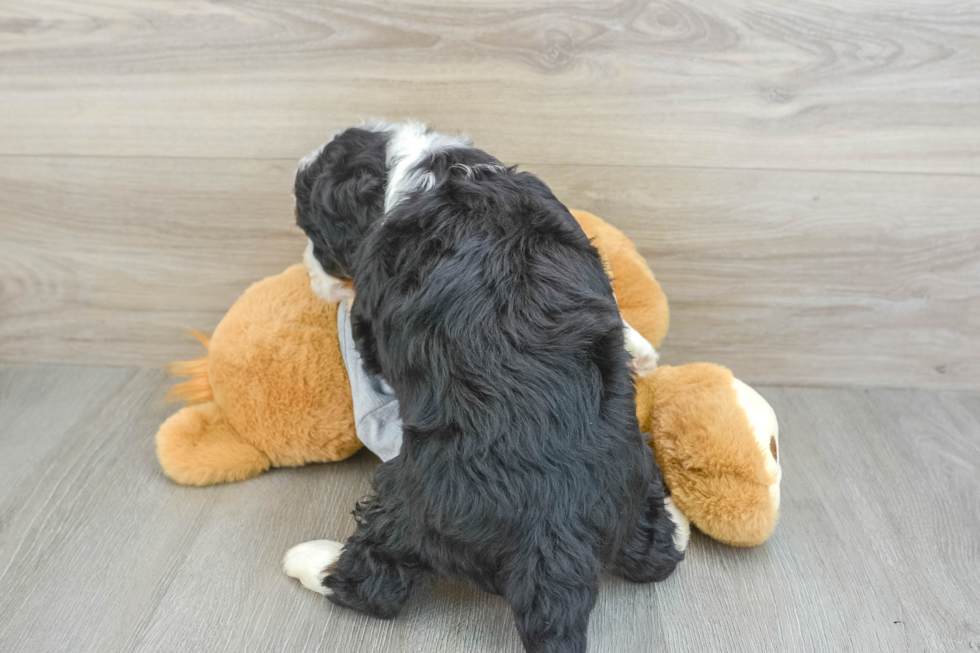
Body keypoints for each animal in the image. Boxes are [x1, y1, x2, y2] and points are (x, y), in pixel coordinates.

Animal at [282, 122, 680, 652]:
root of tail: (555, 540)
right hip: (637, 480)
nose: (310, 273)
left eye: (315, 236)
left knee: (376, 579)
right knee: (654, 555)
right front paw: (640, 349)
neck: (416, 167)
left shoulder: (373, 301)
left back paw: (312, 560)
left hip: (409, 502)